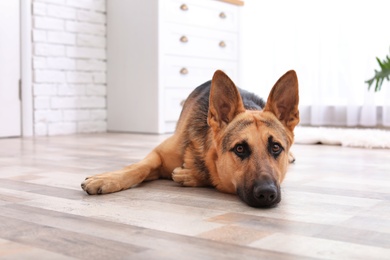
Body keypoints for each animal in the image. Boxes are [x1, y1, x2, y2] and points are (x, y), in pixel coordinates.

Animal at [81, 70, 298, 208]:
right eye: (240, 149)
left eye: (276, 147)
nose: (267, 193)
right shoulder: (158, 155)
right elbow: (139, 168)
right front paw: (109, 178)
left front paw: (189, 175)